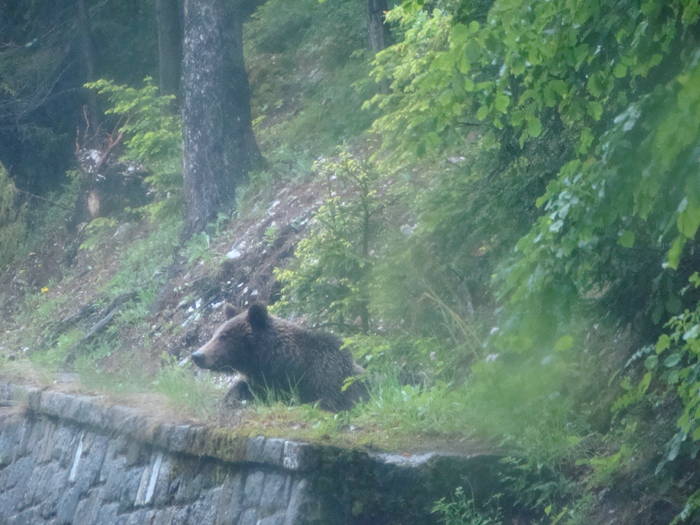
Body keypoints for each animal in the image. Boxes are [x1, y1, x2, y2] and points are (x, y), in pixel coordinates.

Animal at [191, 302, 366, 410]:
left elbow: (327, 401)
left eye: (224, 336)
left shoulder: (328, 378)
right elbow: (241, 389)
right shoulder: (263, 383)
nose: (197, 355)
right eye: (215, 334)